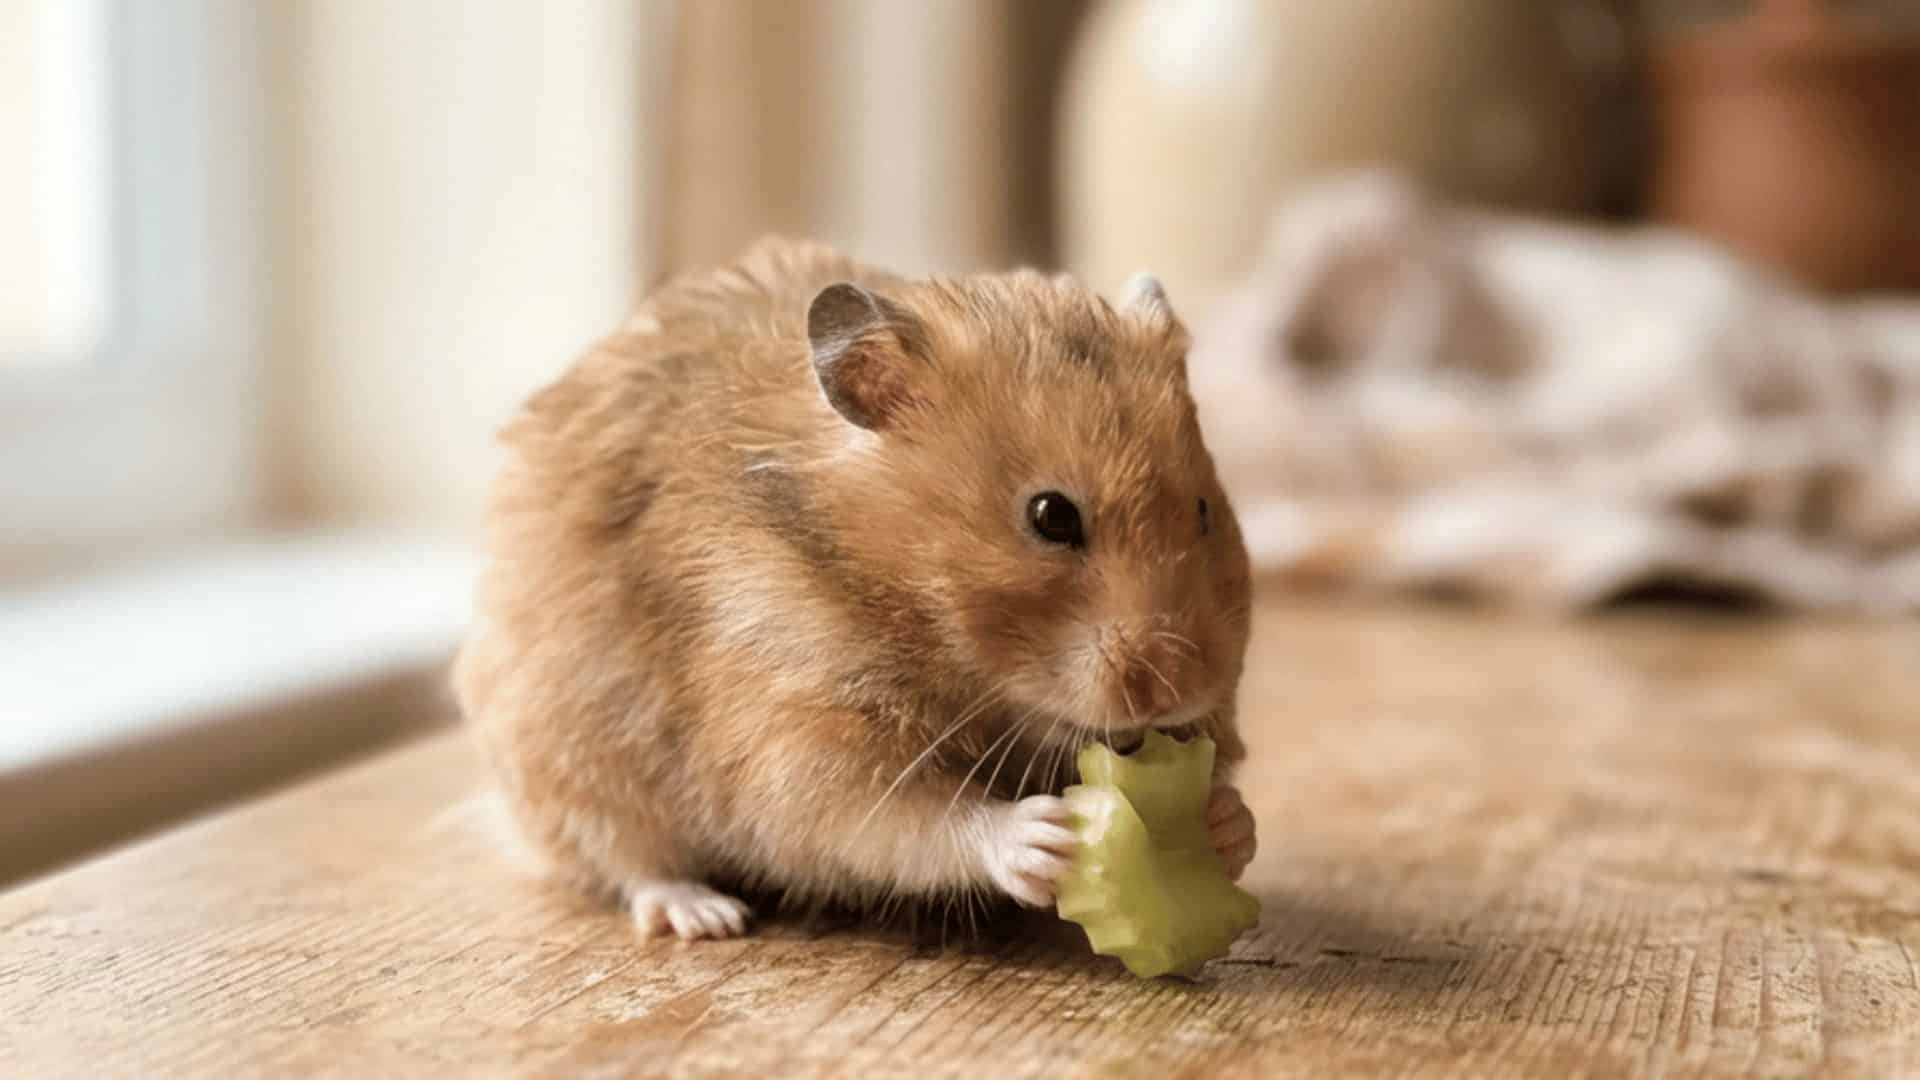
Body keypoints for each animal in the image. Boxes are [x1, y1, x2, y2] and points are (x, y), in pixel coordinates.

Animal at [454, 237, 1256, 940]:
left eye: (1205, 510)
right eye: (1051, 516)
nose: (1177, 689)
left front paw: (1226, 822)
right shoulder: (792, 720)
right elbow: (899, 815)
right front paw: (1043, 836)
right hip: (572, 757)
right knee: (622, 861)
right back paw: (705, 916)